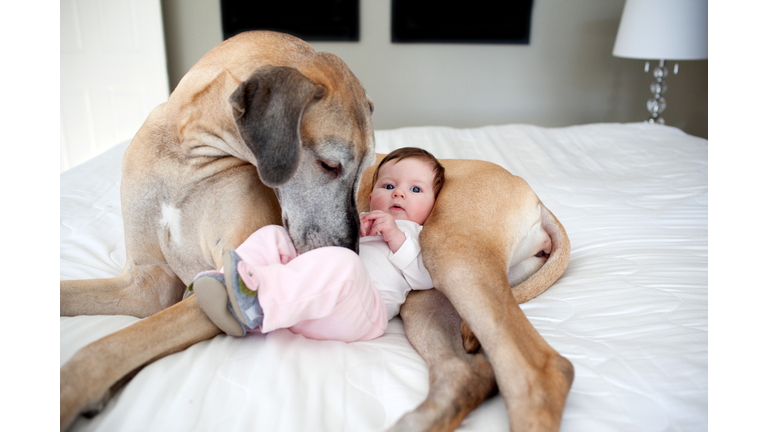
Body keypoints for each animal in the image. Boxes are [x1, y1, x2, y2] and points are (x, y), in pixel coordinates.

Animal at [60, 31, 572, 432]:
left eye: (366, 169)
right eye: (330, 164)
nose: (351, 251)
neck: (188, 154)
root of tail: (533, 196)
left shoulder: (224, 283)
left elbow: (103, 348)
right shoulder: (146, 284)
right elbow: (74, 296)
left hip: (451, 251)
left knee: (539, 370)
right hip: (427, 301)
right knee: (469, 373)